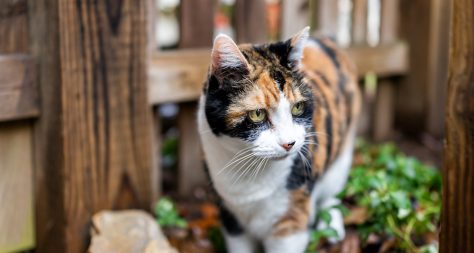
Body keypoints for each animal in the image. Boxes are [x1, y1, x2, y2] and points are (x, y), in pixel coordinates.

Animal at [198, 27, 362, 253]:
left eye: (297, 107)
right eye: (257, 114)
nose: (289, 143)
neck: (250, 172)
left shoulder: (291, 222)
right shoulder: (231, 217)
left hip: (341, 158)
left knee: (332, 193)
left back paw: (332, 229)